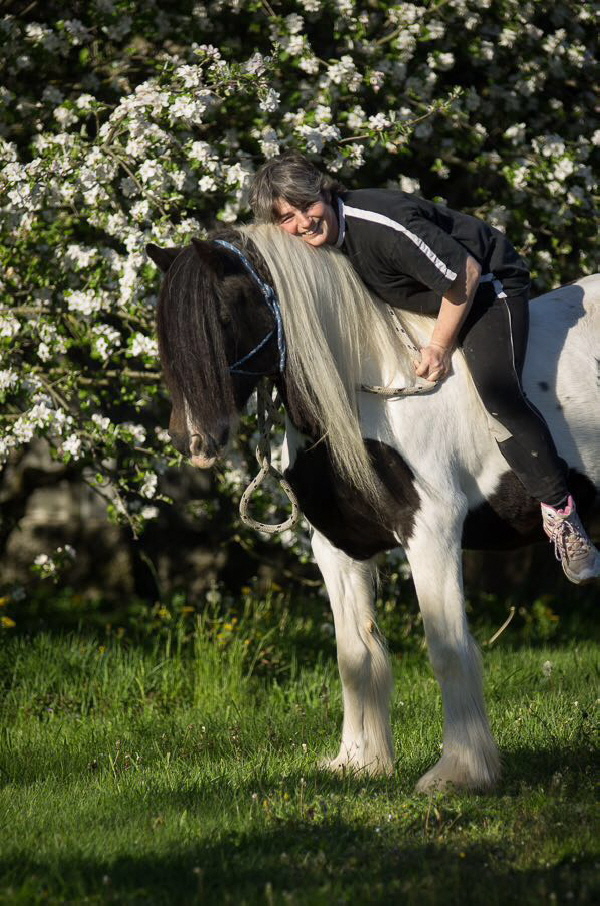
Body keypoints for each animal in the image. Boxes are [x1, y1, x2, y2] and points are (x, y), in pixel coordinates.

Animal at [146, 228, 600, 792]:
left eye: (224, 317)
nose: (192, 440)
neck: (371, 390)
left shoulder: (431, 533)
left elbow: (447, 650)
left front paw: (459, 772)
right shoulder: (338, 547)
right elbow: (355, 656)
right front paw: (358, 761)